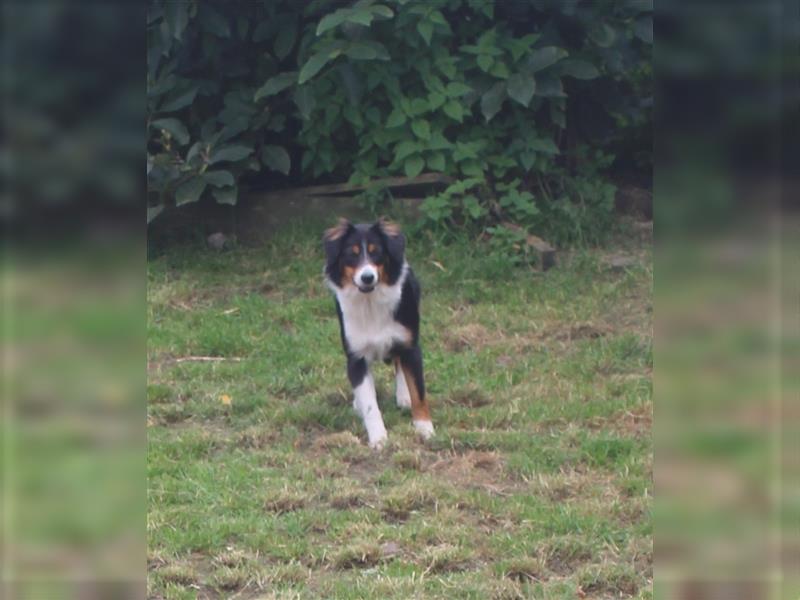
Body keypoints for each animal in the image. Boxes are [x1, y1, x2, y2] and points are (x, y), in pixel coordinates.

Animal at [324, 218, 434, 448]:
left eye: (377, 253)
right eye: (352, 254)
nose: (367, 277)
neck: (370, 303)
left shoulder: (411, 345)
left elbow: (419, 392)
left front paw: (425, 429)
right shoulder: (356, 357)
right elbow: (369, 404)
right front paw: (378, 438)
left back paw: (403, 395)